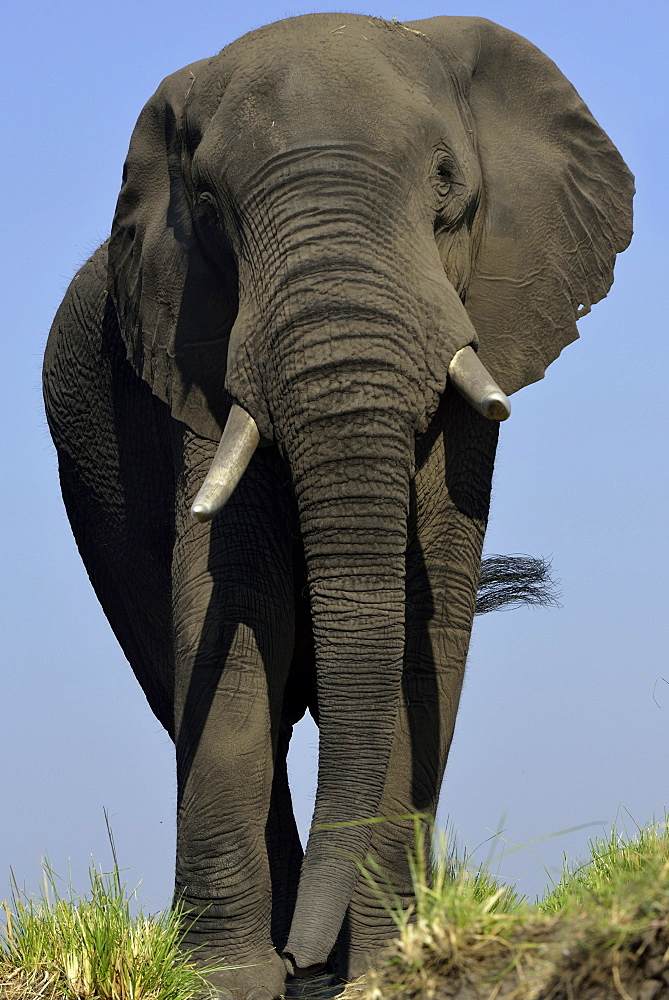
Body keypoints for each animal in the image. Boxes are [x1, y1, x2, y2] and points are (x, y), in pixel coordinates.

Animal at [43, 13, 632, 1000]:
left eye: (447, 183)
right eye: (210, 207)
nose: (304, 961)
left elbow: (428, 617)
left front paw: (386, 965)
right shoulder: (194, 355)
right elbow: (234, 606)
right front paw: (227, 981)